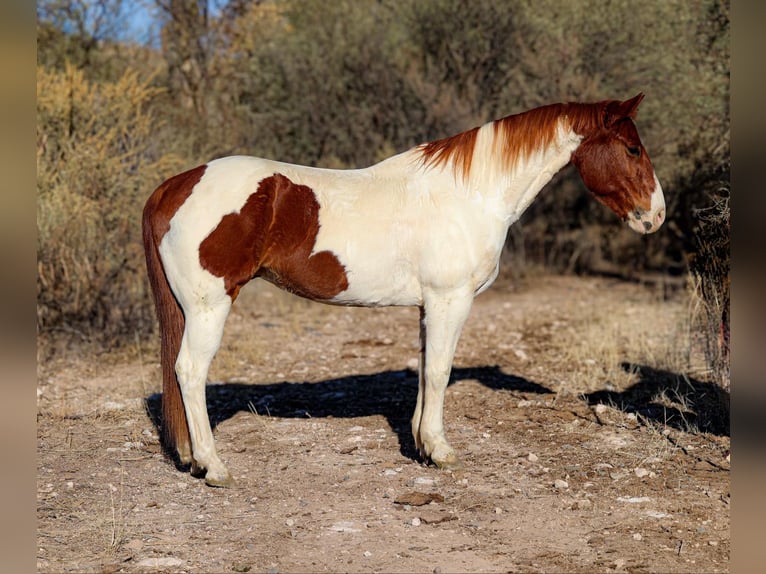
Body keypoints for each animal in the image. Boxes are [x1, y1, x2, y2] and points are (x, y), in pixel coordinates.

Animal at [143, 93, 665, 486]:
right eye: (632, 149)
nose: (656, 216)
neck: (469, 193)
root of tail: (175, 185)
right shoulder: (450, 300)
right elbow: (438, 372)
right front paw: (441, 450)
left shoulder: (428, 305)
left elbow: (423, 370)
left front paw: (420, 445)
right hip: (209, 307)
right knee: (189, 372)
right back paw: (214, 466)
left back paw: (191, 458)